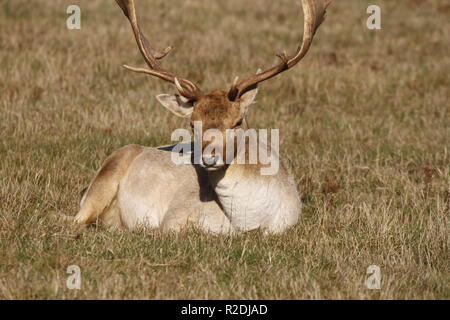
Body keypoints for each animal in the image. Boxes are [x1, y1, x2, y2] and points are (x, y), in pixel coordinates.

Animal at [74, 0, 332, 235]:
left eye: (237, 122)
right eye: (192, 124)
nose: (209, 158)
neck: (250, 223)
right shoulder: (175, 216)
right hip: (104, 177)